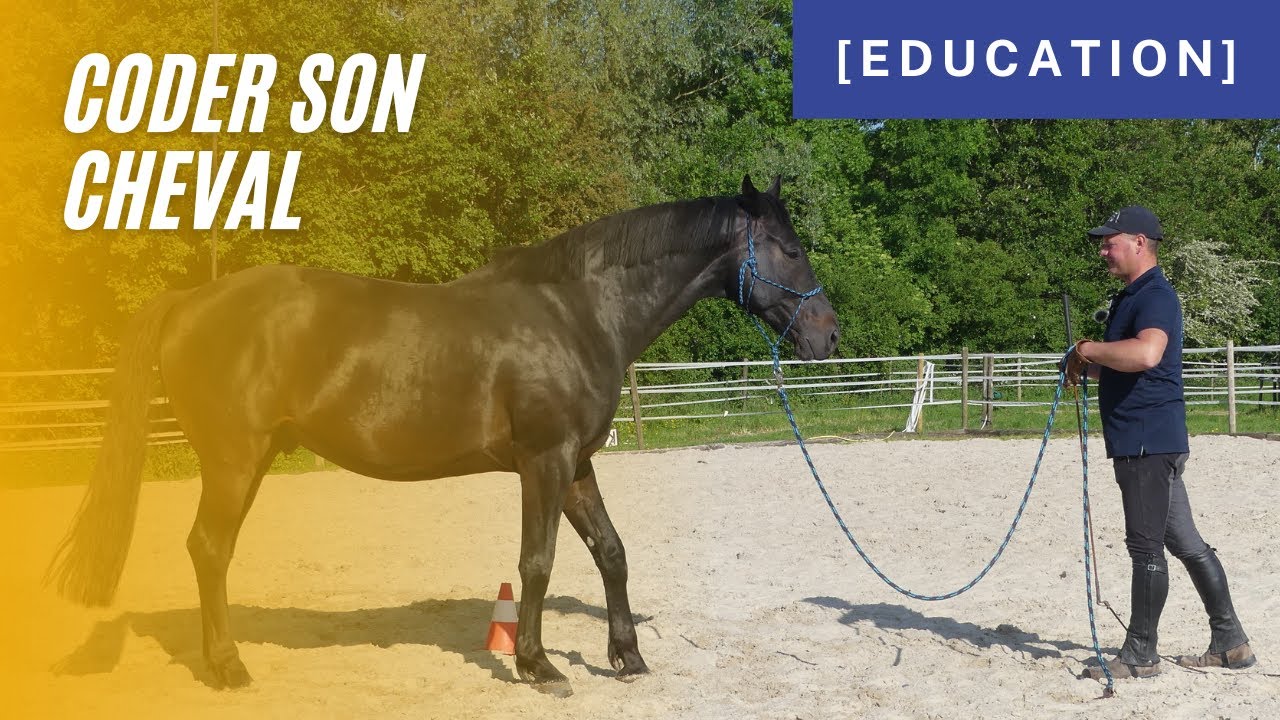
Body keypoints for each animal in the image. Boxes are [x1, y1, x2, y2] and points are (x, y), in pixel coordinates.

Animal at [47, 174, 840, 697]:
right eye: (789, 248)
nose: (828, 336)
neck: (577, 310)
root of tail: (192, 299)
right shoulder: (544, 463)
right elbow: (537, 563)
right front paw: (538, 667)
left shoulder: (577, 463)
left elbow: (611, 553)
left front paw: (627, 657)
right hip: (234, 461)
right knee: (209, 550)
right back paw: (227, 667)